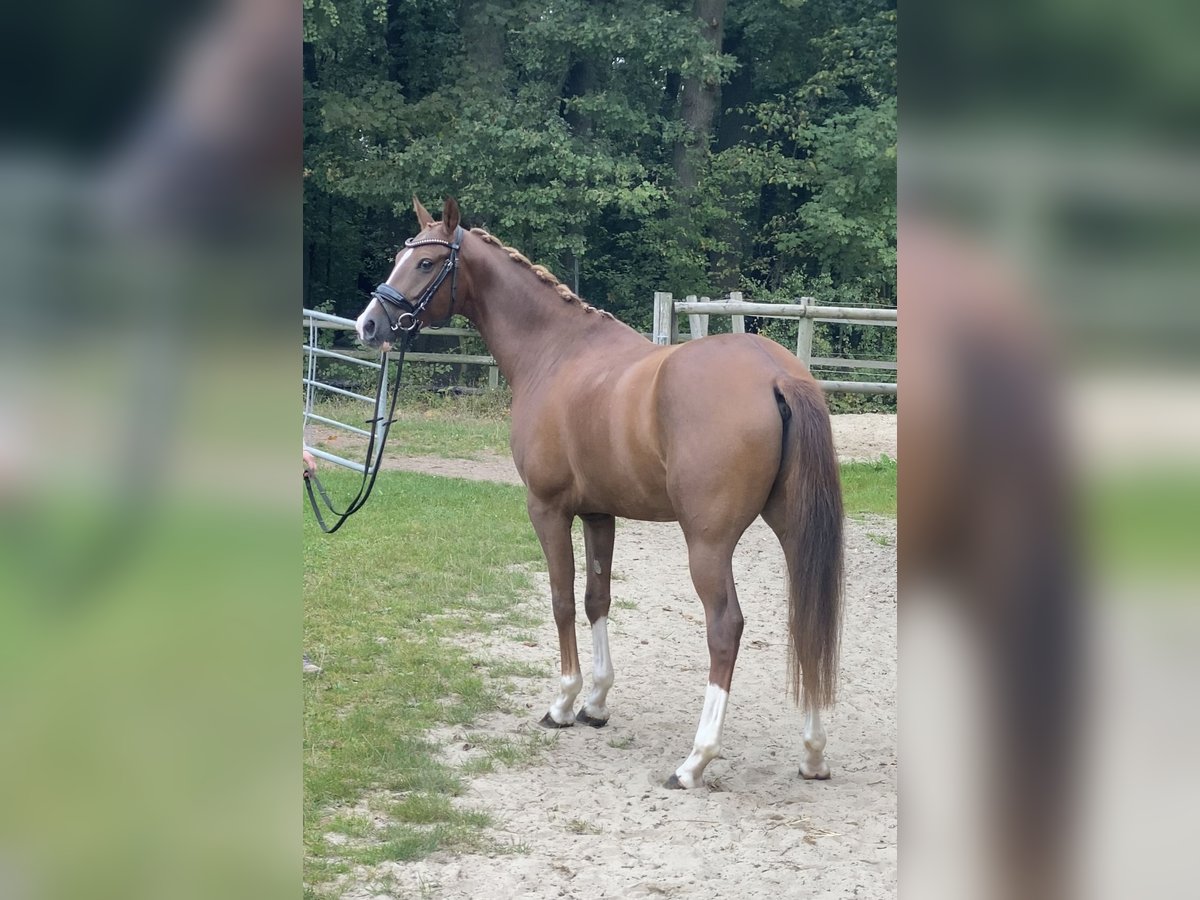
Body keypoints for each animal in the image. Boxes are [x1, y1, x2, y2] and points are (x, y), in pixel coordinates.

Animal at [355, 196, 844, 787]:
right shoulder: (598, 514)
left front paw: (564, 703)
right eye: (400, 257)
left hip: (708, 543)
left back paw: (695, 760)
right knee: (806, 621)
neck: (556, 353)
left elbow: (562, 599)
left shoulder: (547, 509)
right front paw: (596, 702)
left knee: (725, 627)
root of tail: (777, 374)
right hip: (793, 528)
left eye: (426, 264)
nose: (369, 323)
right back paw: (813, 753)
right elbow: (597, 599)